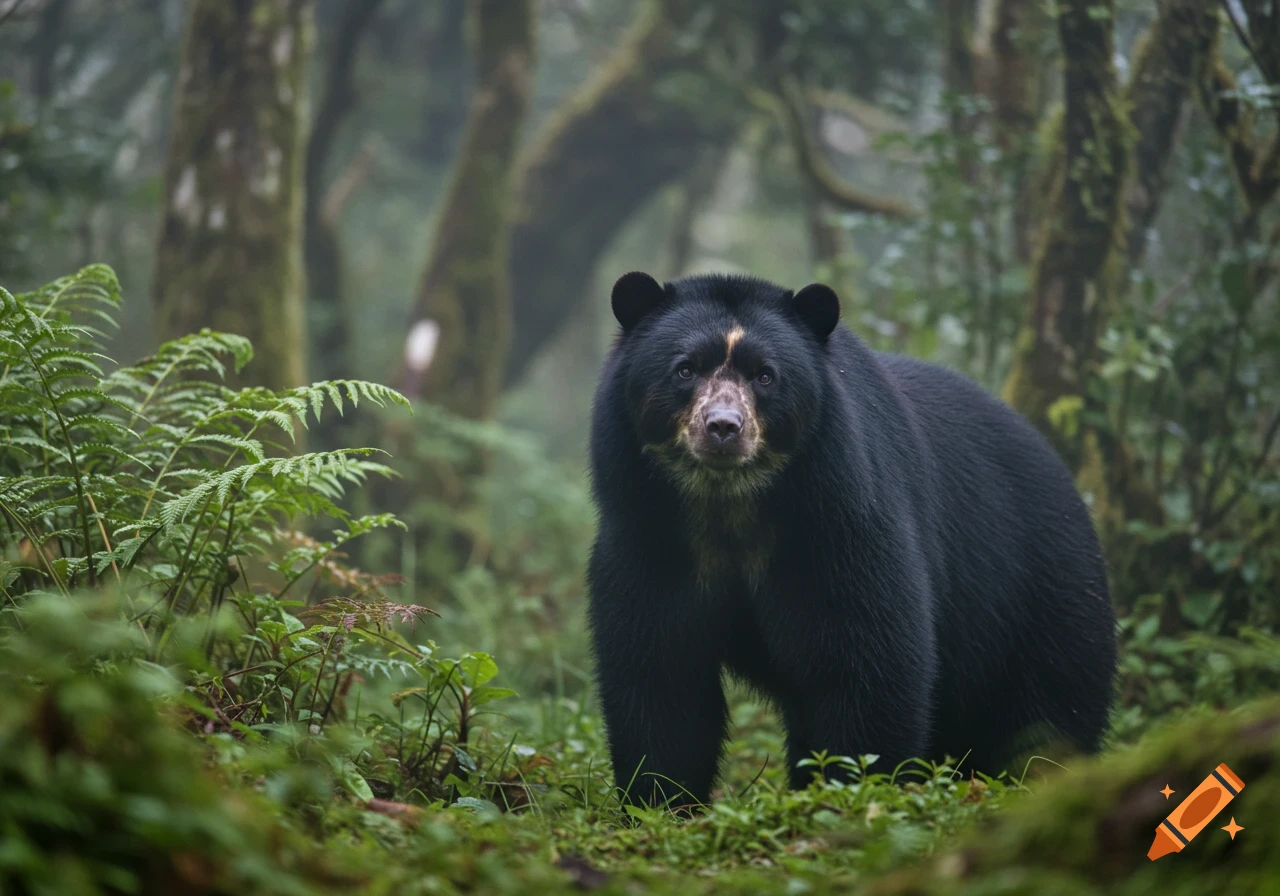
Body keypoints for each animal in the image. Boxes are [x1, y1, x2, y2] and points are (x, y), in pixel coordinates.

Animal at [585, 271, 1117, 809]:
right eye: (685, 369)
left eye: (766, 376)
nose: (723, 428)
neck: (729, 503)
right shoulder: (647, 534)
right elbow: (659, 672)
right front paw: (659, 800)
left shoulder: (840, 524)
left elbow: (864, 661)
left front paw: (852, 794)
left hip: (1043, 598)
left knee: (1046, 719)